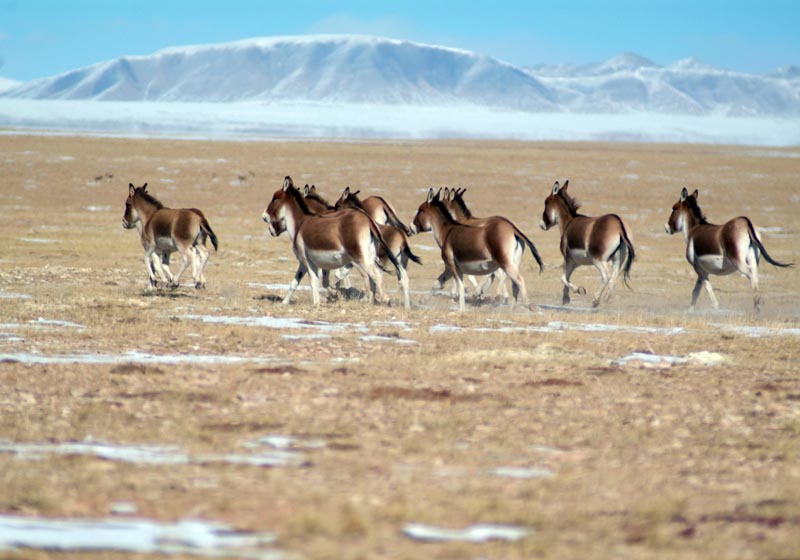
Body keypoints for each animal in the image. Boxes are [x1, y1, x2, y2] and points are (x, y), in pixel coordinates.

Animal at [412, 187, 544, 310]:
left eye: (420, 210)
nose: (410, 228)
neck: (448, 231)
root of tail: (512, 228)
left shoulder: (452, 265)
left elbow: (461, 285)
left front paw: (462, 307)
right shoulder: (450, 268)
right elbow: (438, 283)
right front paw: (423, 301)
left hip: (505, 263)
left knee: (518, 280)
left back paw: (526, 304)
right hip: (511, 263)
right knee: (513, 283)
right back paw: (509, 309)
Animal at [664, 188, 792, 310]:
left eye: (674, 208)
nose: (666, 228)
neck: (693, 230)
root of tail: (745, 223)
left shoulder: (699, 269)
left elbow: (706, 288)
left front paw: (716, 308)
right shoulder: (703, 271)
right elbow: (696, 291)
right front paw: (690, 311)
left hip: (738, 261)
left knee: (750, 274)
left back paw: (757, 305)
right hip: (753, 259)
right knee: (755, 277)